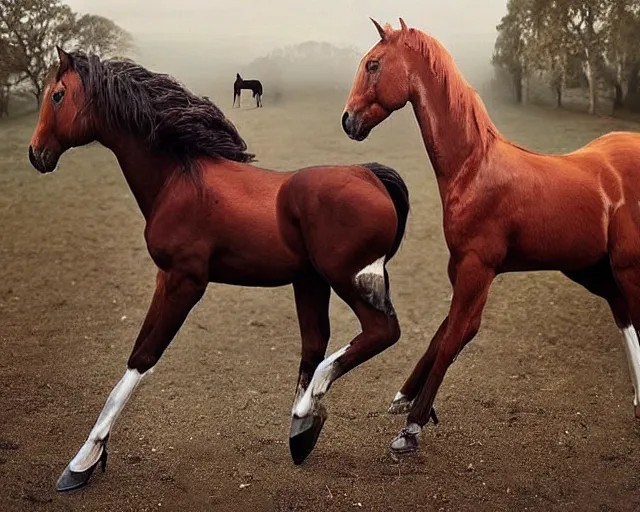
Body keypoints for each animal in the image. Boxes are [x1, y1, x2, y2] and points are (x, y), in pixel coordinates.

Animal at [29, 47, 411, 491]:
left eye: (57, 95)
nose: (36, 154)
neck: (179, 179)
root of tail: (372, 176)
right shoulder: (175, 279)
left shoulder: (183, 280)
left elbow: (141, 356)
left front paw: (82, 462)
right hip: (312, 281)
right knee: (316, 344)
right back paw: (302, 427)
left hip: (347, 278)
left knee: (380, 332)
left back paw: (307, 408)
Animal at [342, 17, 640, 455]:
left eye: (374, 64)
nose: (348, 121)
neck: (473, 168)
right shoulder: (462, 268)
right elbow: (444, 331)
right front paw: (404, 398)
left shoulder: (478, 269)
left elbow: (456, 336)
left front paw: (411, 428)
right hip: (594, 270)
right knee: (626, 318)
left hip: (626, 268)